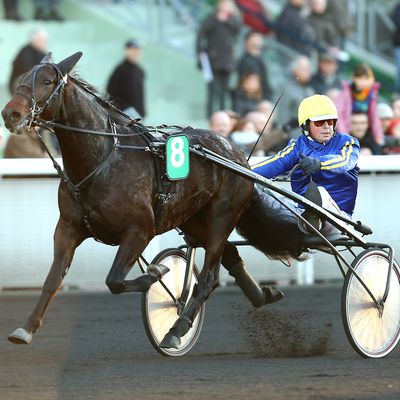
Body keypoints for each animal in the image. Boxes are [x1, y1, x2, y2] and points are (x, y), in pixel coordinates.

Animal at [1, 51, 304, 348]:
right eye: (22, 78)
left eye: (47, 81)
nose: (10, 113)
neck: (101, 160)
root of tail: (238, 154)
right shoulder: (67, 229)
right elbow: (52, 280)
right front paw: (25, 328)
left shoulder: (139, 230)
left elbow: (114, 280)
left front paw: (156, 272)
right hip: (193, 219)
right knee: (228, 254)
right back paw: (262, 295)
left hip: (222, 214)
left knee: (208, 278)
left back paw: (176, 330)